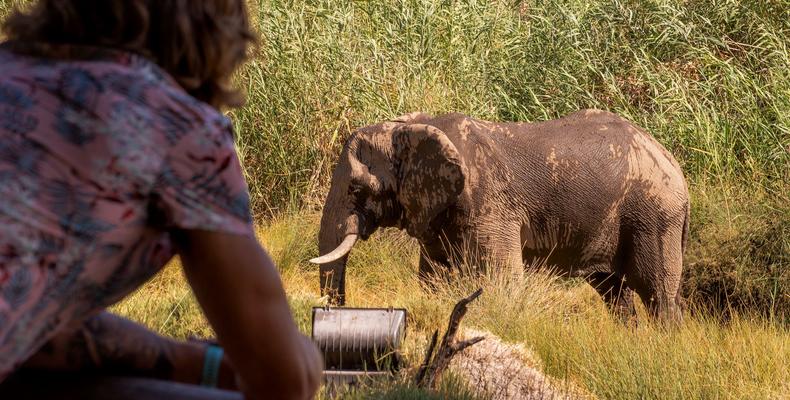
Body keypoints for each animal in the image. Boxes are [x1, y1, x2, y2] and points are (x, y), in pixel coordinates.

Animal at [312, 110, 688, 322]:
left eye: (356, 189)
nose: (335, 310)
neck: (411, 128)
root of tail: (674, 163)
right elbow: (434, 276)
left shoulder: (490, 204)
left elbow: (500, 277)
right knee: (614, 293)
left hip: (655, 216)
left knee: (657, 291)